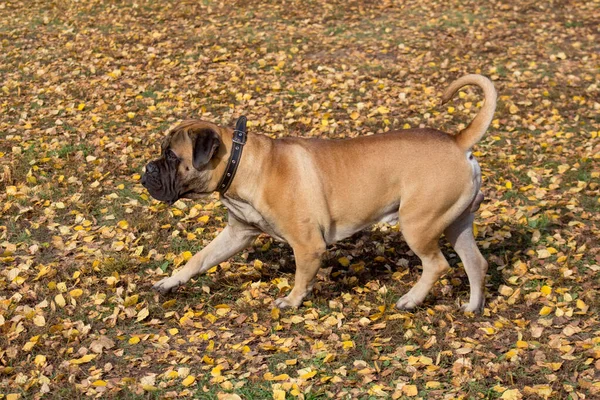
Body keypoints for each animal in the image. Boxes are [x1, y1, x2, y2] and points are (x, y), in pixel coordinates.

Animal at [142, 74, 496, 312]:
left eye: (171, 157)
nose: (147, 170)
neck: (240, 162)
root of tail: (458, 142)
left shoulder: (307, 244)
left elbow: (302, 275)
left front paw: (292, 301)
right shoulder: (236, 234)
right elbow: (199, 259)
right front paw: (169, 282)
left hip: (417, 223)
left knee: (437, 264)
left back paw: (410, 300)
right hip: (455, 223)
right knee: (476, 262)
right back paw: (472, 307)